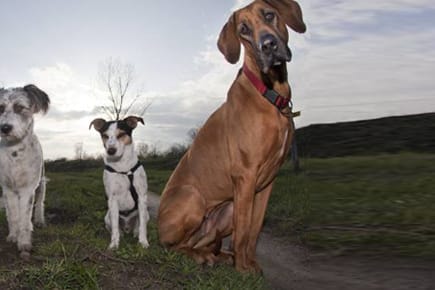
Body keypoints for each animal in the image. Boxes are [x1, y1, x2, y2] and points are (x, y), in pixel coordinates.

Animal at [0, 84, 49, 258]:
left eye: (20, 107)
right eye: (0, 108)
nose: (5, 128)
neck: (15, 151)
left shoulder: (28, 188)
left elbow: (24, 217)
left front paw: (24, 243)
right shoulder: (8, 189)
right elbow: (14, 215)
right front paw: (13, 236)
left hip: (41, 182)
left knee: (39, 202)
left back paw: (39, 221)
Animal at [89, 116, 150, 249]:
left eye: (121, 134)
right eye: (105, 135)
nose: (111, 151)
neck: (123, 167)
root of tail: (127, 228)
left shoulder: (142, 197)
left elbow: (142, 226)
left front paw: (143, 242)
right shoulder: (112, 199)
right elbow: (115, 227)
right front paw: (114, 244)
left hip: (146, 213)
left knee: (139, 225)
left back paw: (135, 233)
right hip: (107, 217)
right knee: (114, 227)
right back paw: (121, 234)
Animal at [158, 0, 304, 272]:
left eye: (270, 15)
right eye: (243, 30)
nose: (268, 45)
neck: (269, 92)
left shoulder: (267, 182)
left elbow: (254, 230)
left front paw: (250, 264)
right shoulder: (245, 175)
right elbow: (244, 231)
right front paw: (243, 269)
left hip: (225, 210)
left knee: (199, 242)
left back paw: (217, 255)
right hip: (194, 198)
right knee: (172, 247)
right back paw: (201, 257)